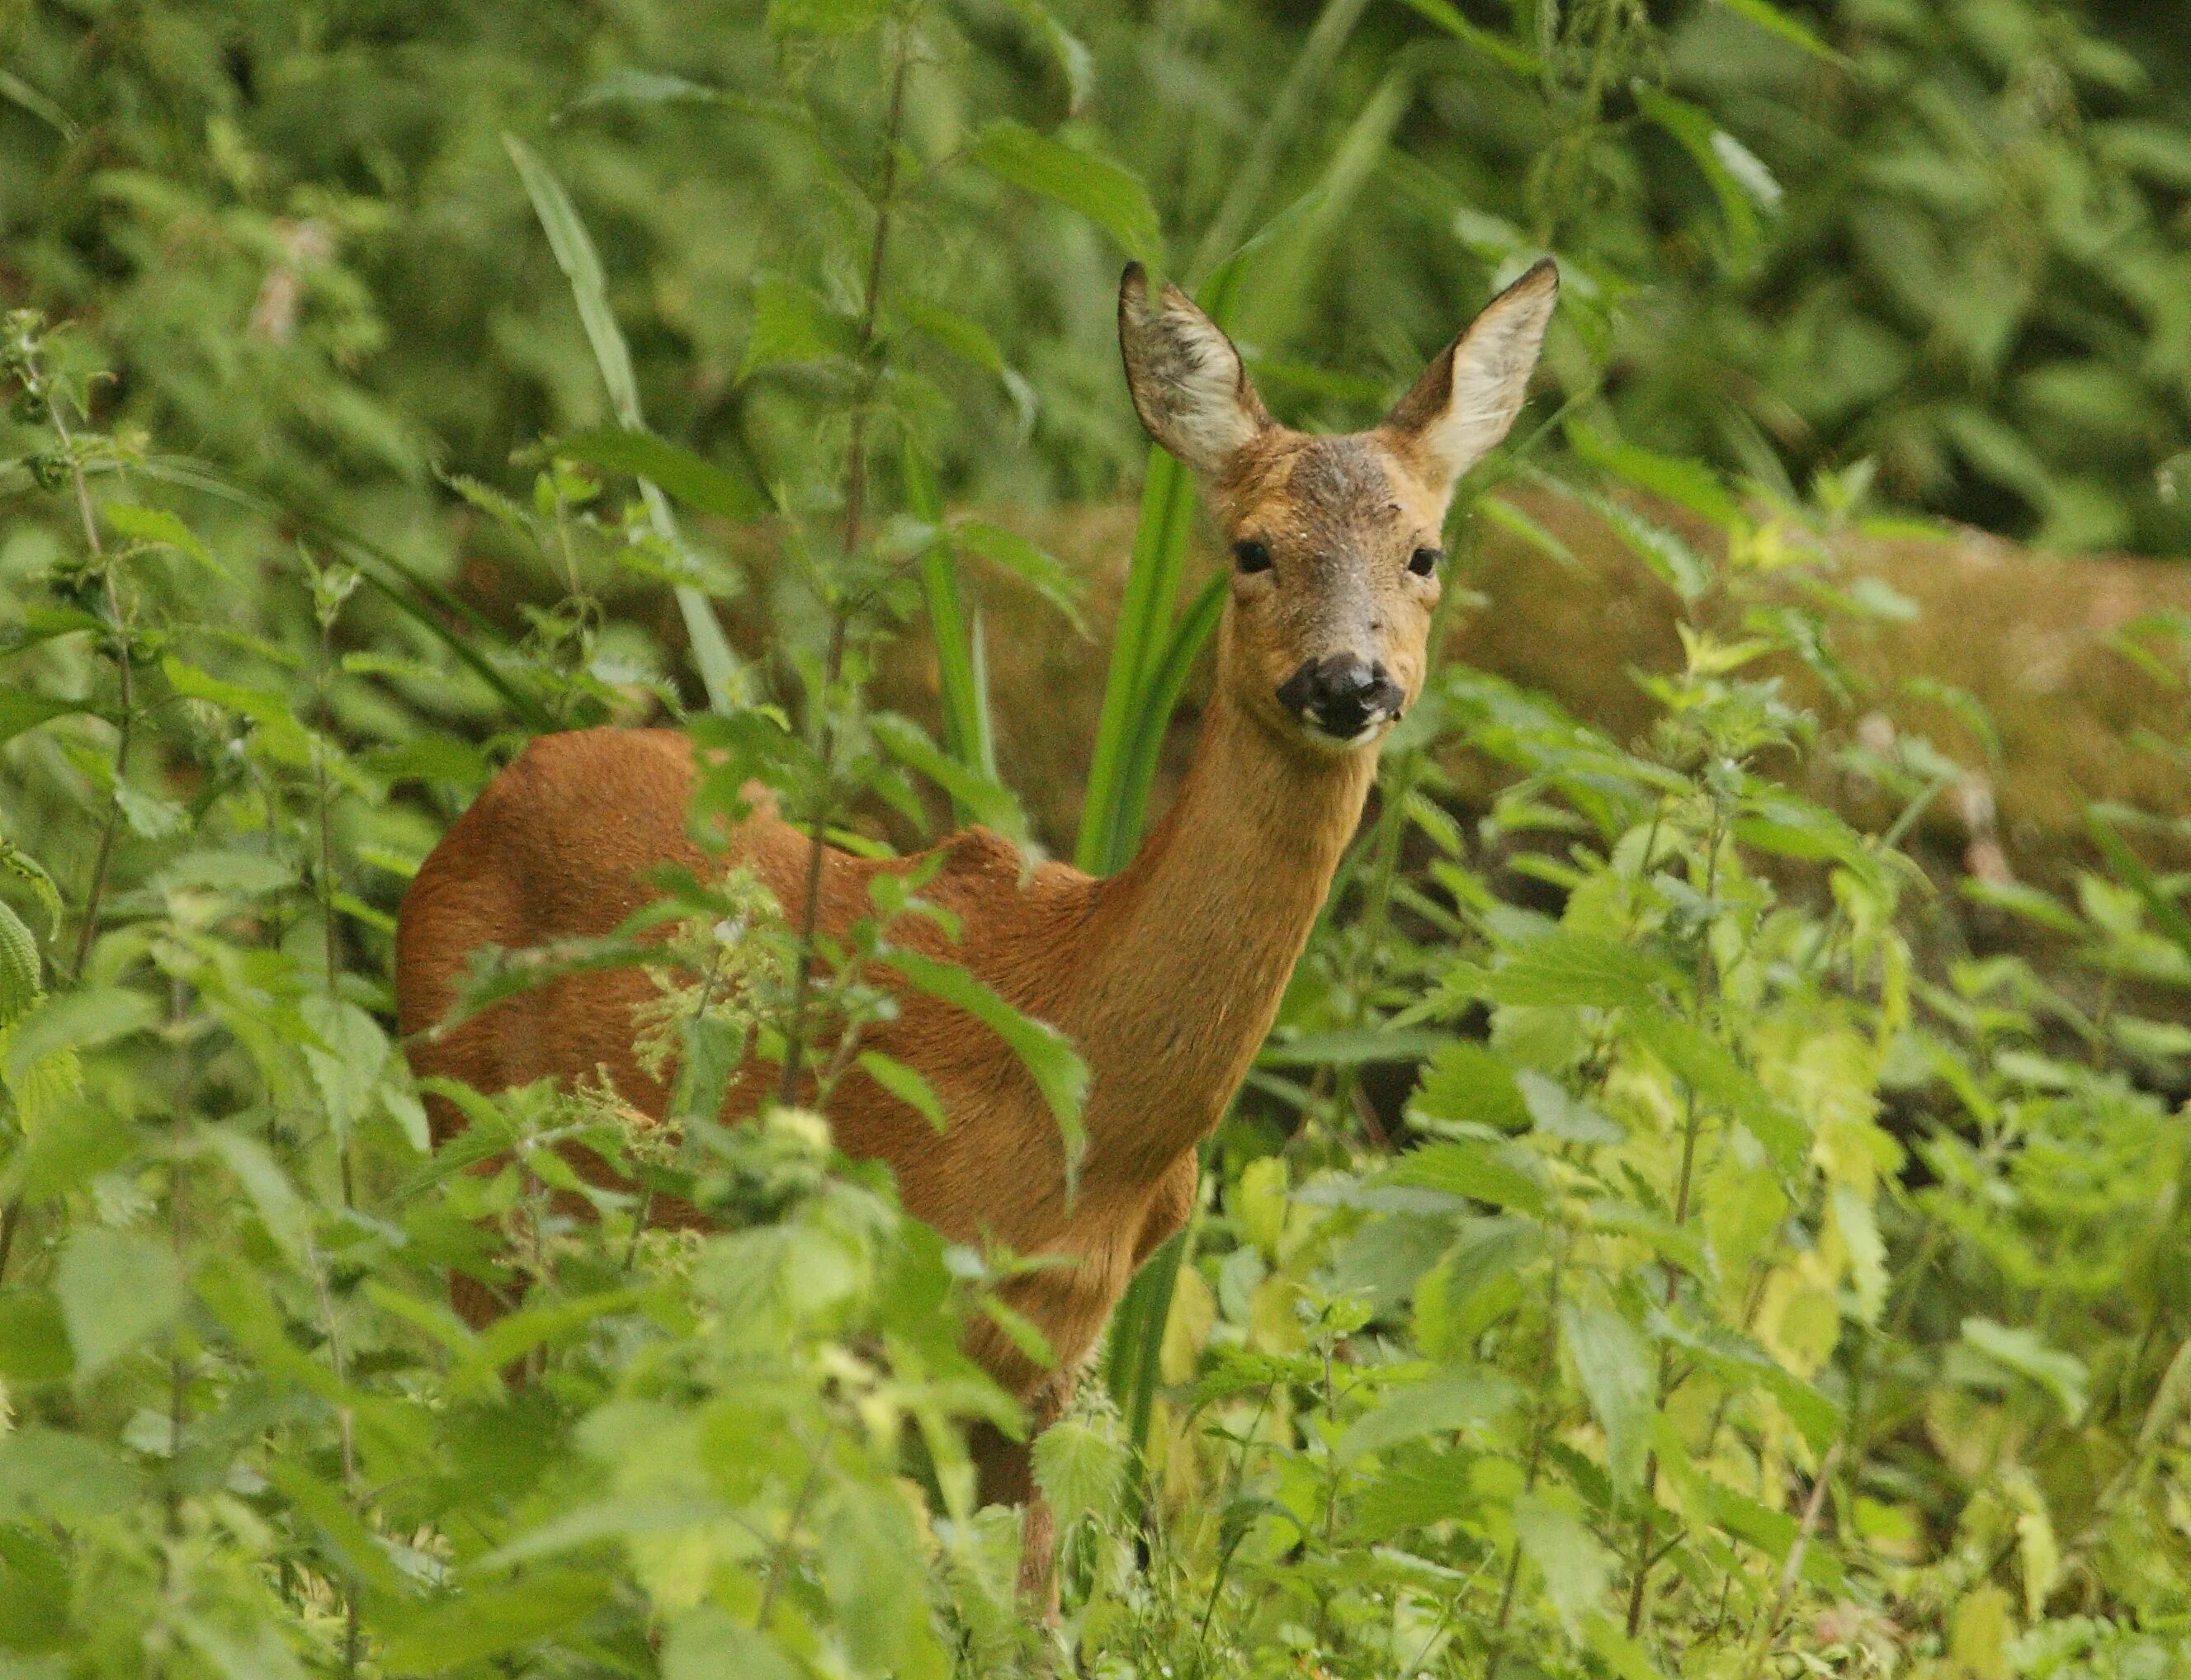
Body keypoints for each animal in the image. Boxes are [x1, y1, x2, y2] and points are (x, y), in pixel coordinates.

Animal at [399, 256, 1560, 1594]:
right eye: (1252, 547)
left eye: (1425, 551)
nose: (1348, 682)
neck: (1085, 1104)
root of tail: (483, 801)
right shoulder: (869, 1306)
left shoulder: (1048, 1368)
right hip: (480, 1167)